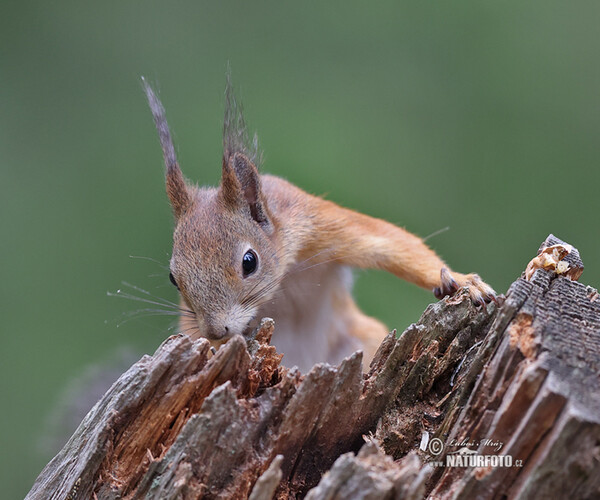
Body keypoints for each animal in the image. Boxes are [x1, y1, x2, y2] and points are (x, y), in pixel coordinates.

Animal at [142, 75, 496, 372]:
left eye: (249, 261)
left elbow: (392, 242)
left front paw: (463, 281)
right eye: (174, 279)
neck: (282, 281)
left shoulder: (319, 225)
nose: (216, 331)